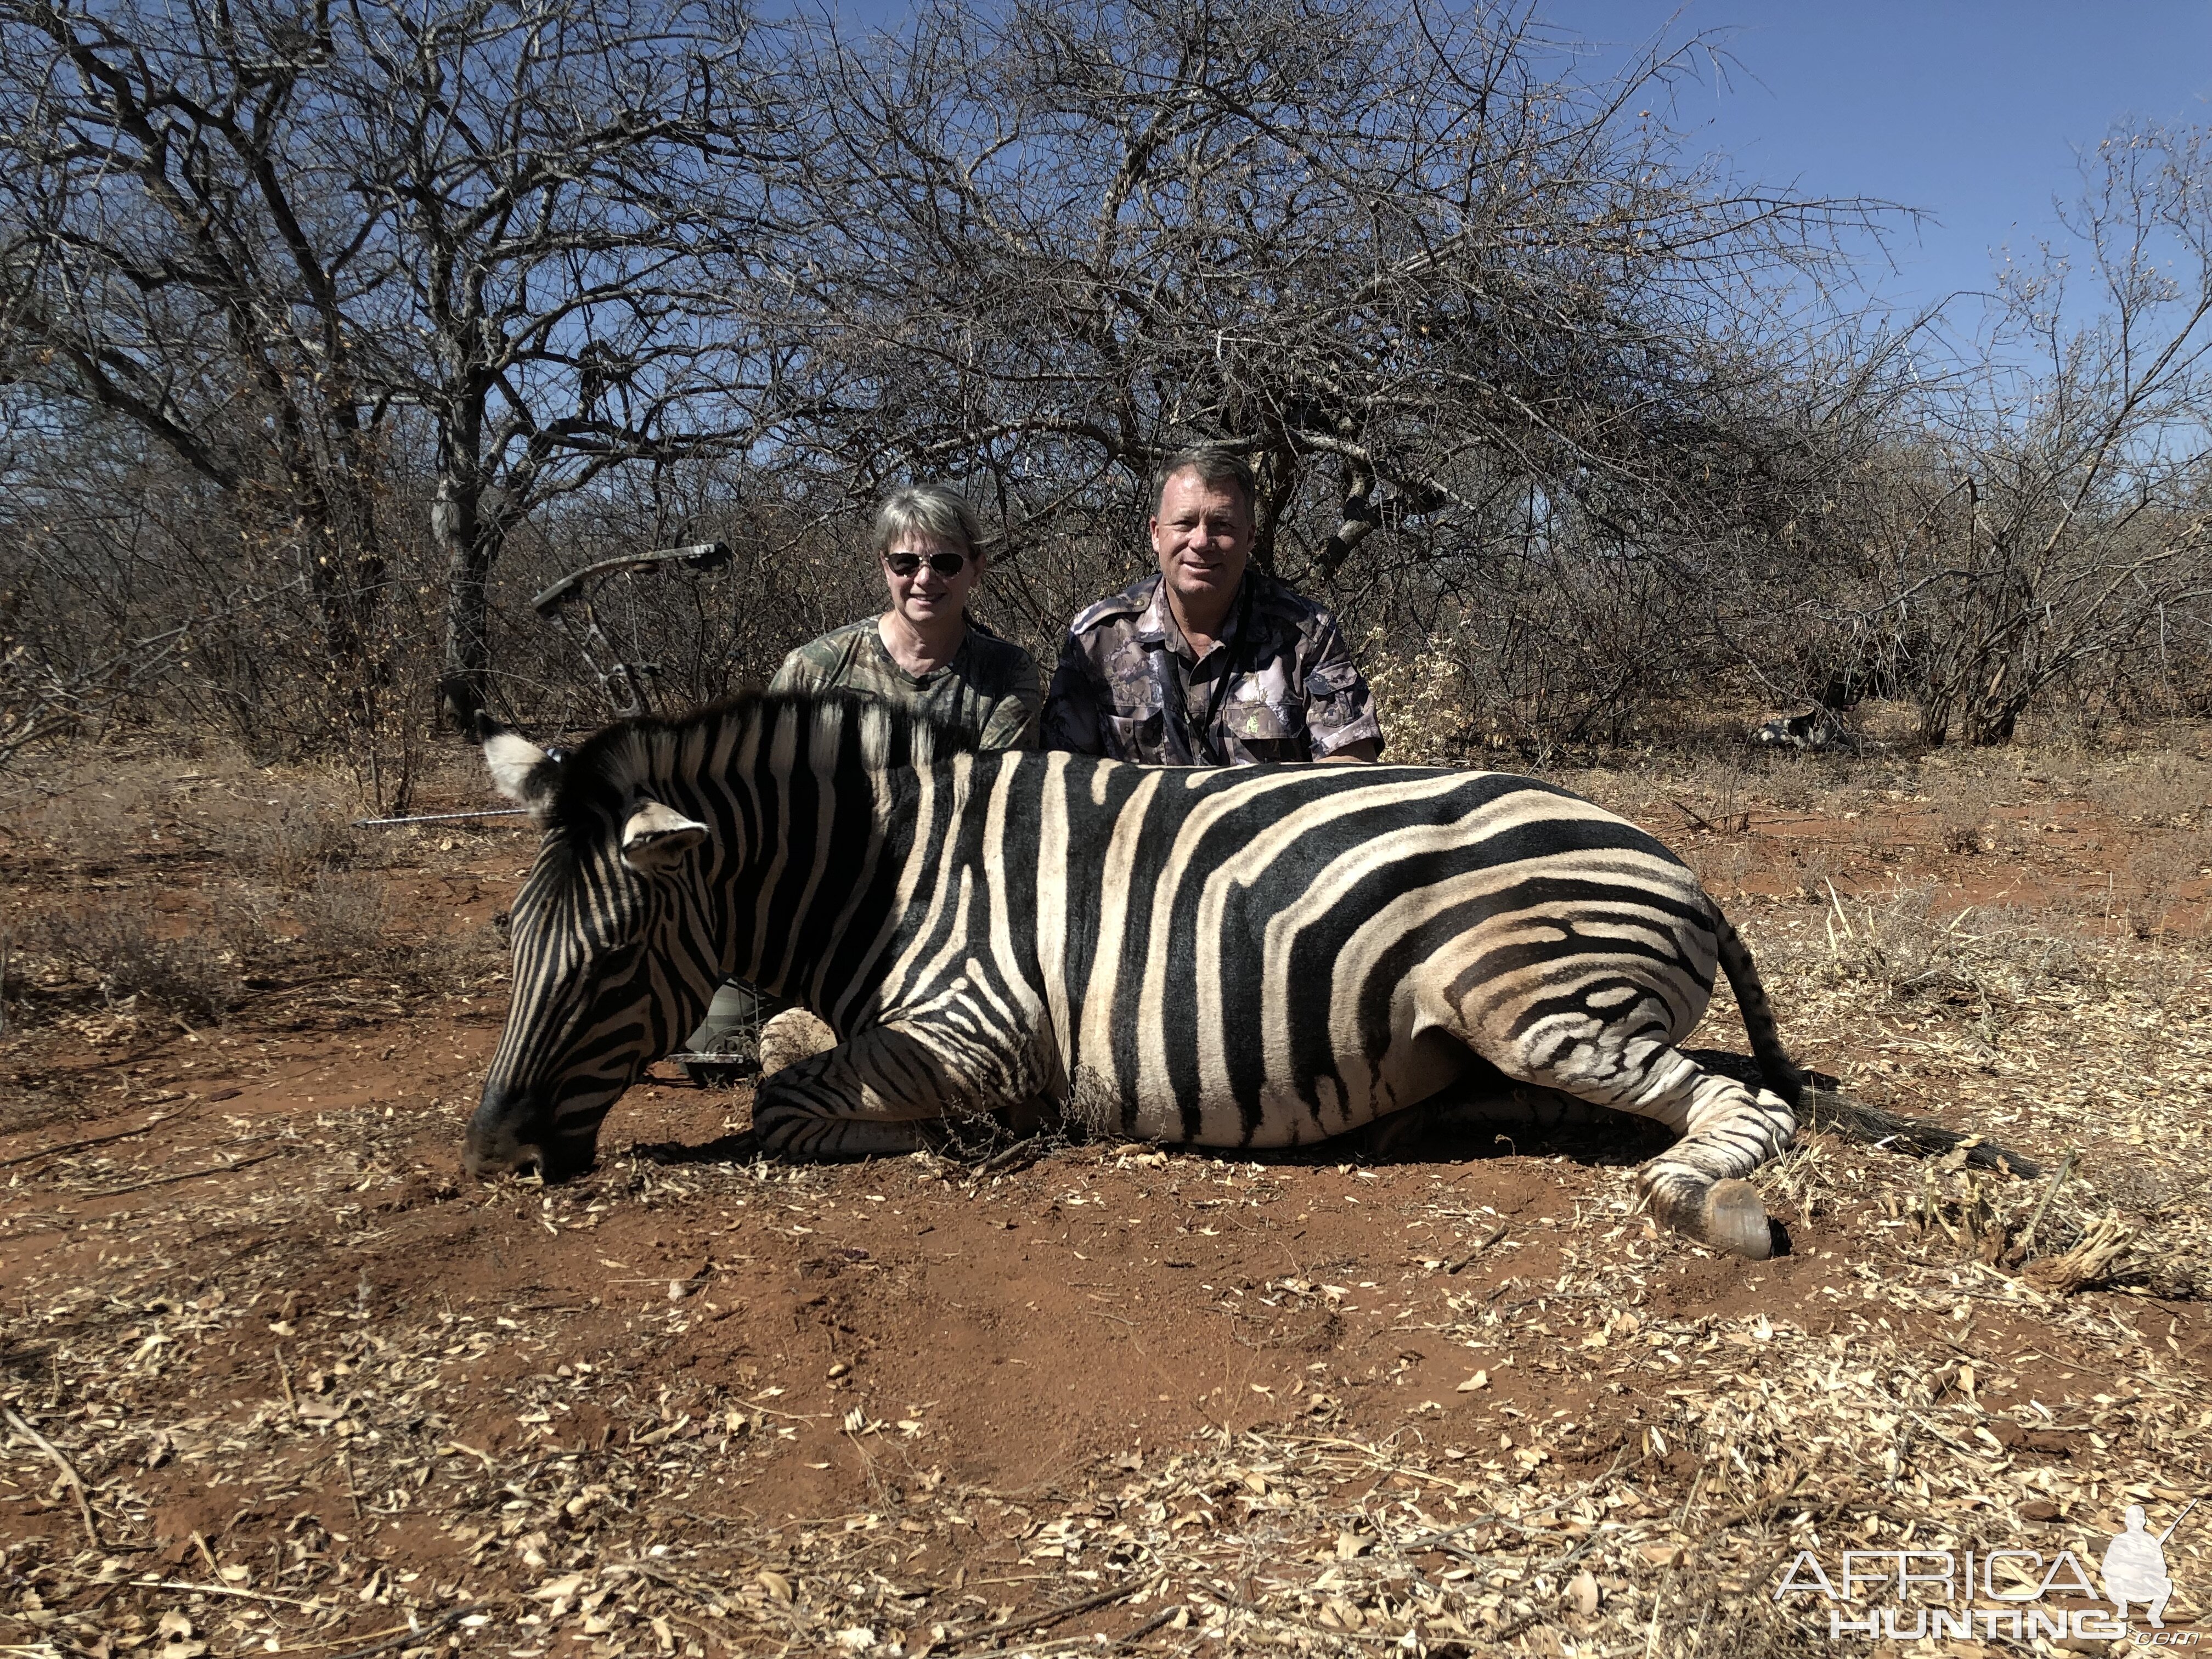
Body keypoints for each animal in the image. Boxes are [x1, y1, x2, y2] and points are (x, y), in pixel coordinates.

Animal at [471, 690, 1814, 1256]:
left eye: (608, 961)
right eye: (510, 940)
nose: (490, 1148)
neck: (888, 874)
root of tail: (1679, 864)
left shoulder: (981, 1023)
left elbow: (782, 1099)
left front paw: (977, 1134)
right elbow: (789, 1071)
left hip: (1531, 1004)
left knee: (1741, 1107)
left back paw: (1703, 1204)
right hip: (1506, 1033)